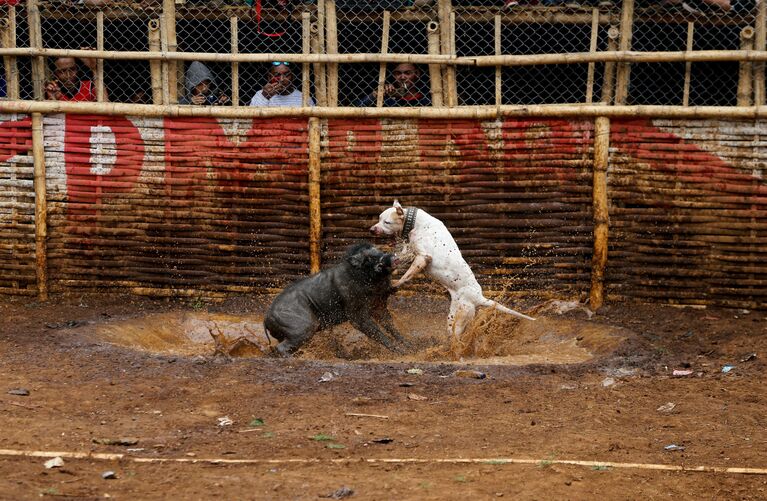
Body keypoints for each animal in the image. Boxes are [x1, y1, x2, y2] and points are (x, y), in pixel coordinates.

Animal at [370, 198, 536, 336]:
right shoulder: (411, 252)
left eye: (387, 222)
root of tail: (478, 297)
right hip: (454, 316)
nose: (372, 229)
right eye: (379, 218)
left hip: (460, 316)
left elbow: (407, 276)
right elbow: (398, 260)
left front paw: (394, 284)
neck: (415, 222)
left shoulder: (423, 257)